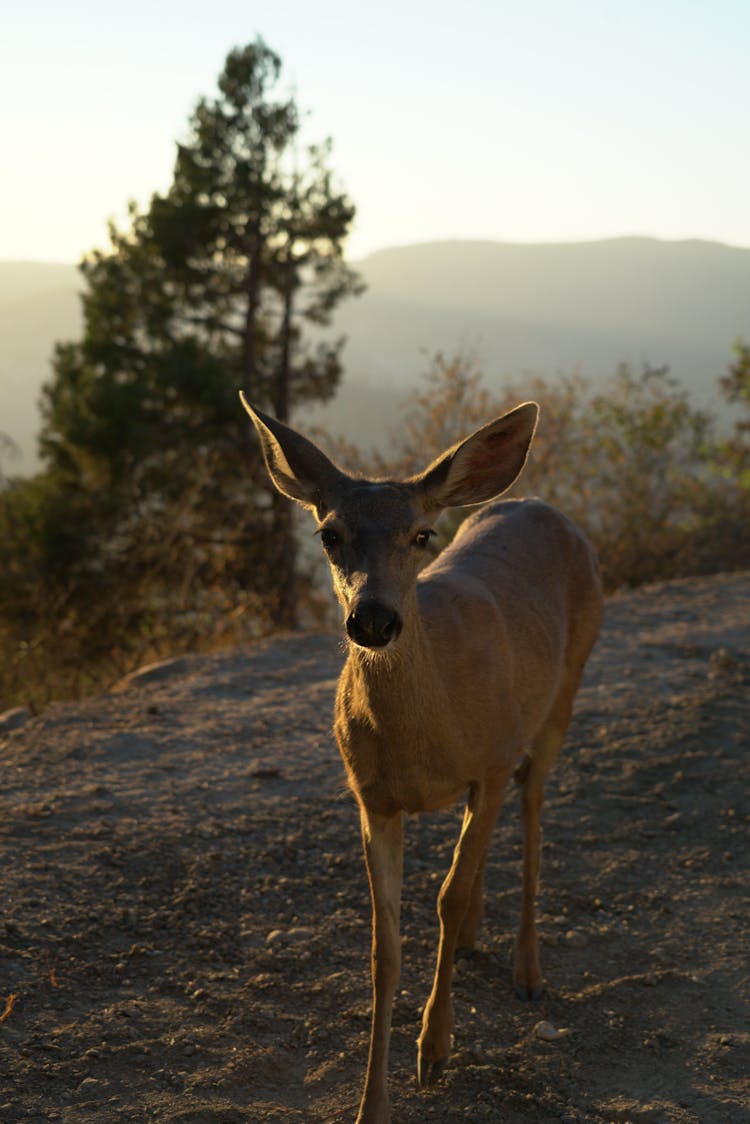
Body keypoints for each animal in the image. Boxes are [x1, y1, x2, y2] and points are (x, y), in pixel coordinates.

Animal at [240, 391, 602, 1119]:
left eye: (421, 536)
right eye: (328, 534)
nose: (374, 619)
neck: (424, 738)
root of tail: (543, 506)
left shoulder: (488, 758)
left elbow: (446, 897)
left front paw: (434, 1050)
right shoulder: (372, 798)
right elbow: (386, 948)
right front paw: (371, 1104)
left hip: (563, 690)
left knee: (532, 809)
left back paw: (528, 969)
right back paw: (475, 940)